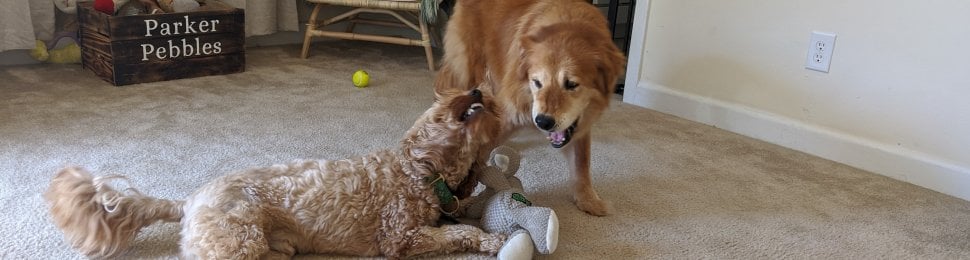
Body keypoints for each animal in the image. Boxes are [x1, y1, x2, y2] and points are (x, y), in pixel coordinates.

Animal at [43, 89, 506, 258]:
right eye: (446, 105)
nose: (478, 89)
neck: (417, 172)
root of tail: (190, 200)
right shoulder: (400, 238)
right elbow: (458, 232)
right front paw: (493, 240)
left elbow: (459, 224)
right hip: (236, 240)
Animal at [432, 0, 628, 215]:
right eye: (537, 82)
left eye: (571, 84)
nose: (543, 122)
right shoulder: (508, 115)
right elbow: (473, 154)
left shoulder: (580, 124)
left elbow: (581, 163)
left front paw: (588, 200)